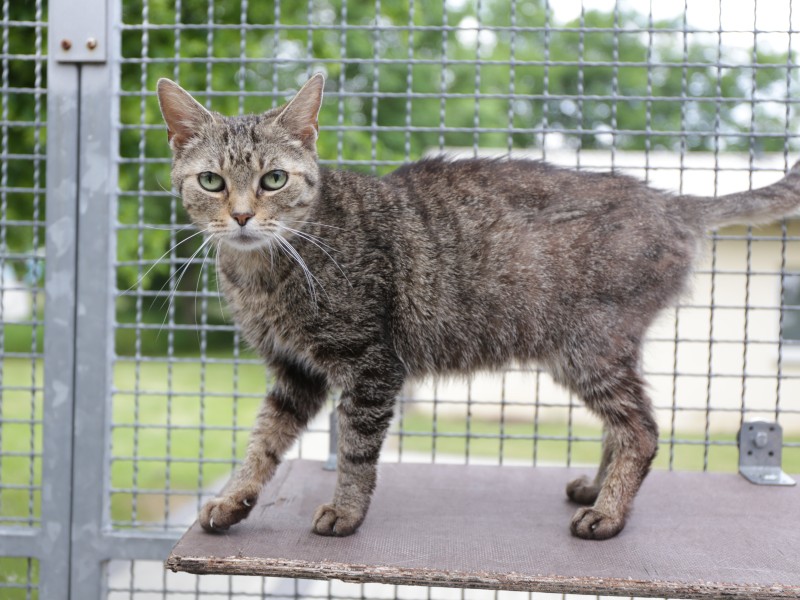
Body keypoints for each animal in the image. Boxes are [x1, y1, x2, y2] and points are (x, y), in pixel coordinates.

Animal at [156, 74, 800, 540]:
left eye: (274, 180)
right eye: (211, 181)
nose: (242, 216)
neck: (266, 272)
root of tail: (670, 200)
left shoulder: (370, 364)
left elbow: (357, 451)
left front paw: (347, 513)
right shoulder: (295, 372)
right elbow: (262, 444)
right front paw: (233, 499)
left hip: (588, 349)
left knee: (641, 430)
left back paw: (610, 514)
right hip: (597, 353)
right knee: (623, 427)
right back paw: (597, 489)